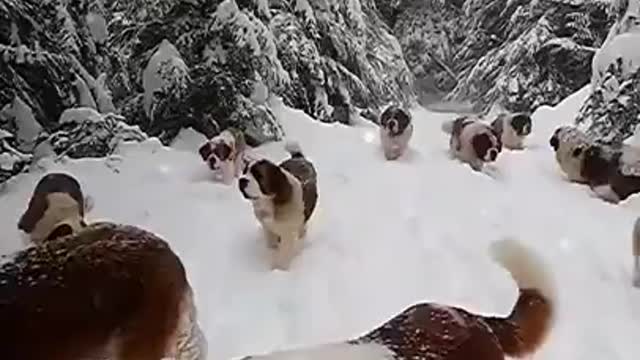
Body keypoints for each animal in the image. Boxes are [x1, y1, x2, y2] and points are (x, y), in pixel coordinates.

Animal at [239, 141, 318, 270]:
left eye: (258, 175)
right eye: (244, 172)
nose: (241, 180)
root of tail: (298, 157)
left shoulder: (288, 234)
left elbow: (284, 254)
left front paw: (279, 270)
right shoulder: (267, 227)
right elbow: (272, 244)